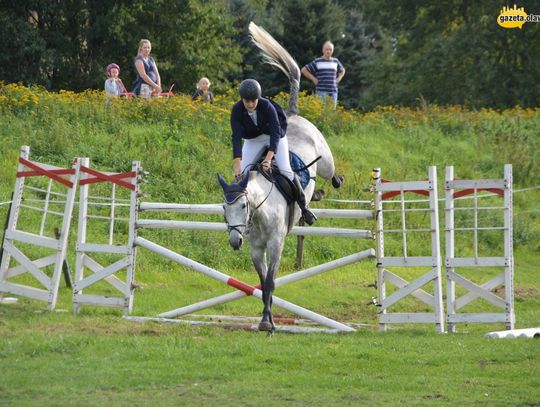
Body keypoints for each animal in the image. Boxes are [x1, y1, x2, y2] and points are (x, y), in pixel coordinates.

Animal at [218, 23, 342, 334]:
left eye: (243, 205)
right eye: (224, 208)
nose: (234, 241)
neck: (261, 213)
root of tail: (293, 114)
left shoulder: (275, 243)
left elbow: (272, 281)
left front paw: (269, 323)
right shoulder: (256, 248)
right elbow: (262, 283)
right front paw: (265, 319)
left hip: (322, 159)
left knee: (330, 172)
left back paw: (330, 188)